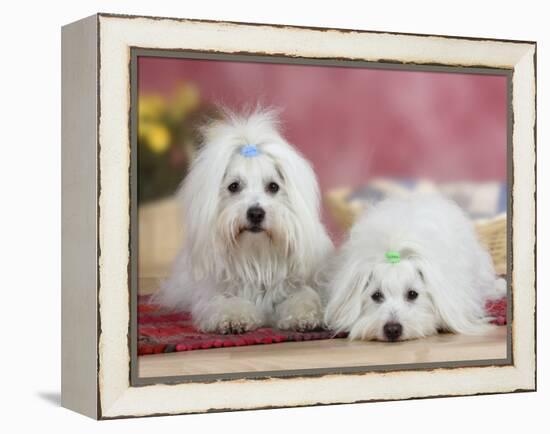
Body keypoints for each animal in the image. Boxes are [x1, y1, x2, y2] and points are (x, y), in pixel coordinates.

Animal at [153, 108, 334, 332]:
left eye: (273, 187)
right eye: (234, 186)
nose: (255, 213)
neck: (257, 258)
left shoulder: (297, 284)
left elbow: (303, 297)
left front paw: (305, 317)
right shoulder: (215, 293)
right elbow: (228, 302)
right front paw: (234, 318)